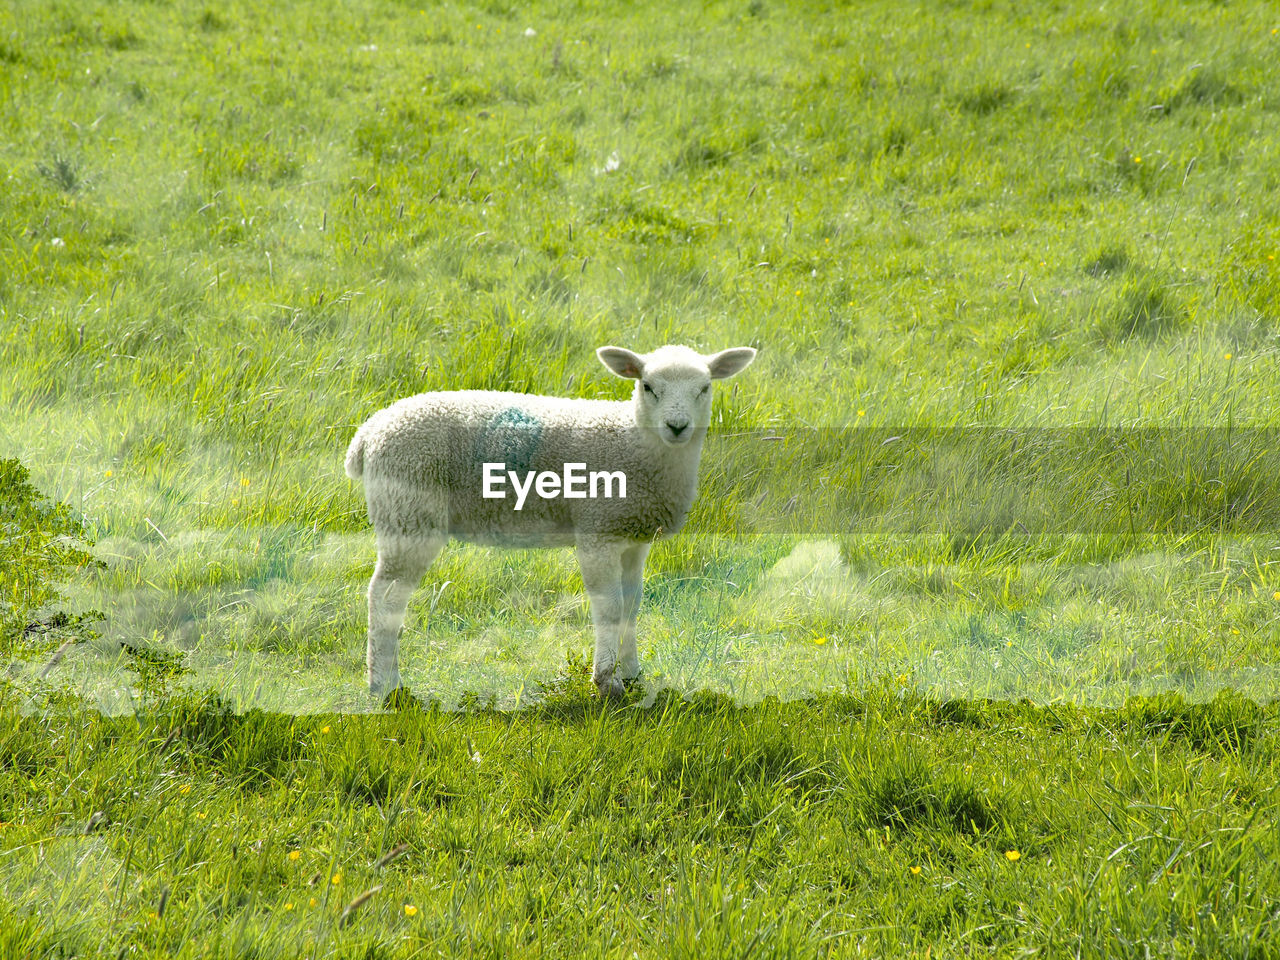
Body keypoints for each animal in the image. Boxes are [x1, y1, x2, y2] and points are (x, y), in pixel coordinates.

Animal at [345, 343, 752, 701]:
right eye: (648, 386)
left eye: (705, 387)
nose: (677, 426)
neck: (635, 444)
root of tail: (368, 433)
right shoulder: (597, 531)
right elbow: (610, 607)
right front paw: (607, 683)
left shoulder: (633, 537)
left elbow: (632, 606)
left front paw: (634, 675)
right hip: (408, 510)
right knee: (384, 597)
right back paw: (385, 686)